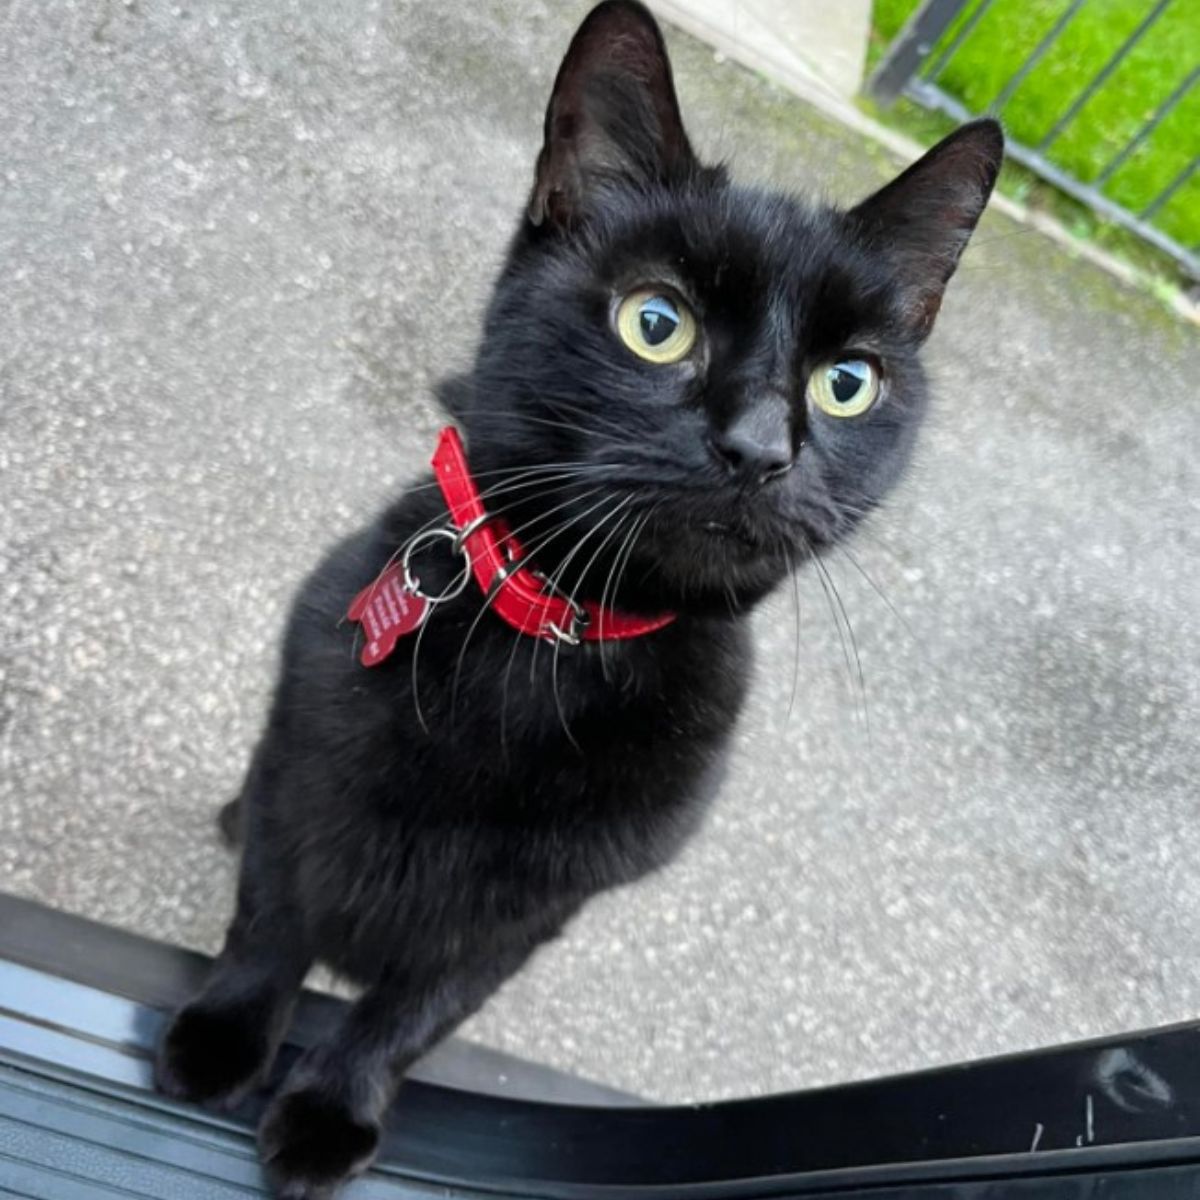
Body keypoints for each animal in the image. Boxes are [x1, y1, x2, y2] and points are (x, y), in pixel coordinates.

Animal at [159, 4, 1003, 1195]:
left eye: (847, 383)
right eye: (657, 322)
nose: (759, 447)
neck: (551, 647)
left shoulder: (536, 912)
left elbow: (415, 1011)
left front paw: (331, 1110)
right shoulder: (302, 756)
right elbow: (269, 920)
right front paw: (222, 1039)